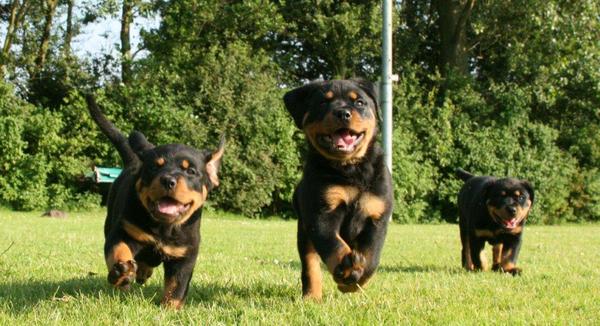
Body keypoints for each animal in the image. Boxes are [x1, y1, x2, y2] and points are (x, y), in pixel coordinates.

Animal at [85, 95, 224, 310]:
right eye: (154, 168)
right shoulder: (124, 230)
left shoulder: (186, 253)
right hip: (110, 222)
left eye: (190, 171)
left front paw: (169, 308)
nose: (168, 180)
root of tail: (134, 159)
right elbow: (118, 249)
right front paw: (122, 271)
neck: (164, 228)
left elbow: (177, 285)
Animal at [282, 79, 392, 300]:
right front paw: (347, 270)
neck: (350, 168)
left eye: (359, 102)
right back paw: (312, 296)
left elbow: (371, 257)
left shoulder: (377, 215)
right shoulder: (320, 212)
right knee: (310, 264)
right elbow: (332, 243)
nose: (343, 113)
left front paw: (354, 281)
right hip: (304, 232)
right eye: (323, 102)